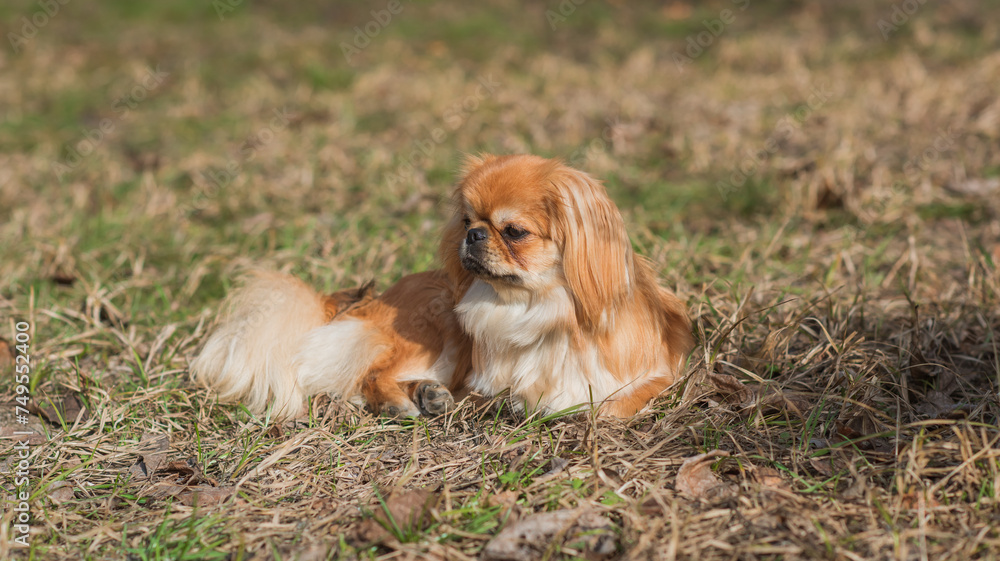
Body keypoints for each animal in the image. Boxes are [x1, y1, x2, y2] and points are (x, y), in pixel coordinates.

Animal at [191, 153, 692, 416]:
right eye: (468, 221)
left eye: (513, 231)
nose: (473, 236)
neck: (538, 308)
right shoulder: (481, 379)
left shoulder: (657, 372)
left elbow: (614, 404)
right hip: (435, 323)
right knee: (369, 376)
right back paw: (410, 400)